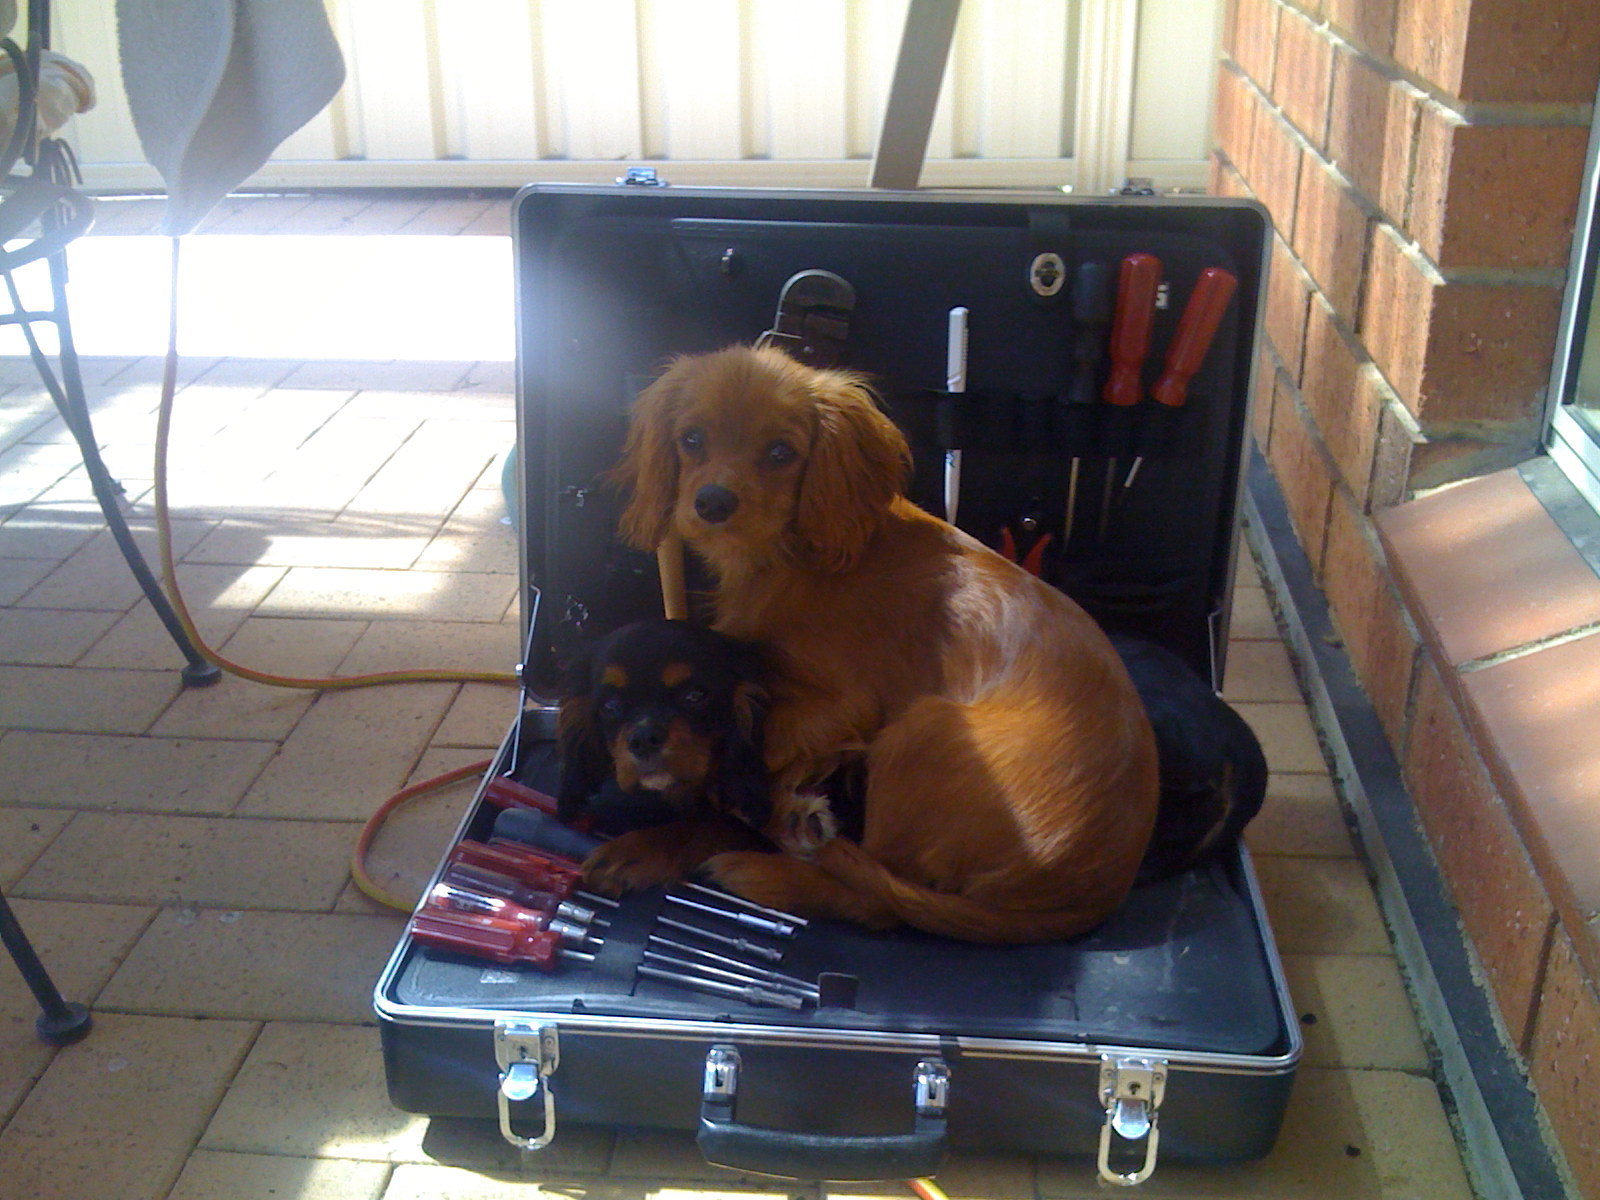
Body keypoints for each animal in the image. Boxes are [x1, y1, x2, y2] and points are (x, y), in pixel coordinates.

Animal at [614, 342, 1164, 947]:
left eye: (781, 452)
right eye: (691, 440)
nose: (712, 503)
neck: (790, 554)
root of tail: (1081, 900)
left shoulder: (845, 702)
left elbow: (752, 750)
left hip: (922, 730)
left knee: (877, 898)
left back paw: (769, 860)